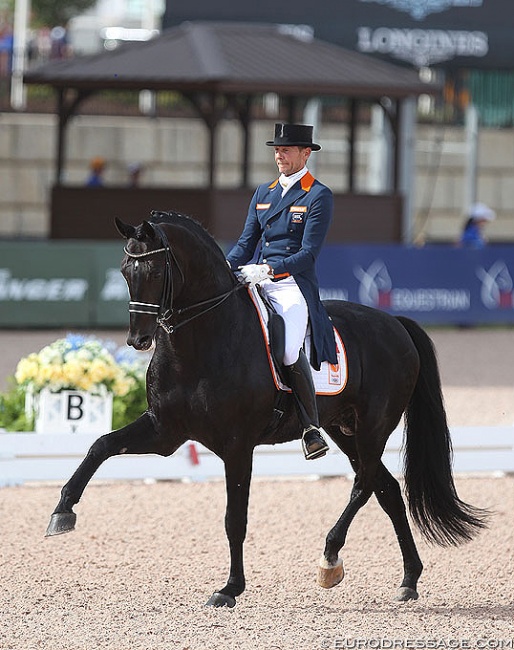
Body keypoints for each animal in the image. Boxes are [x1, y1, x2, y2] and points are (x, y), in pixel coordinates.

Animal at [45, 210, 484, 604]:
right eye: (124, 271)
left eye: (154, 272)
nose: (138, 339)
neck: (202, 341)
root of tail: (394, 323)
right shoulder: (164, 431)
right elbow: (101, 445)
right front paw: (62, 511)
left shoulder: (238, 446)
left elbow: (234, 519)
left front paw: (229, 589)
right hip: (345, 430)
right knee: (387, 489)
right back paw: (409, 580)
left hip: (374, 426)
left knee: (364, 485)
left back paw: (330, 559)